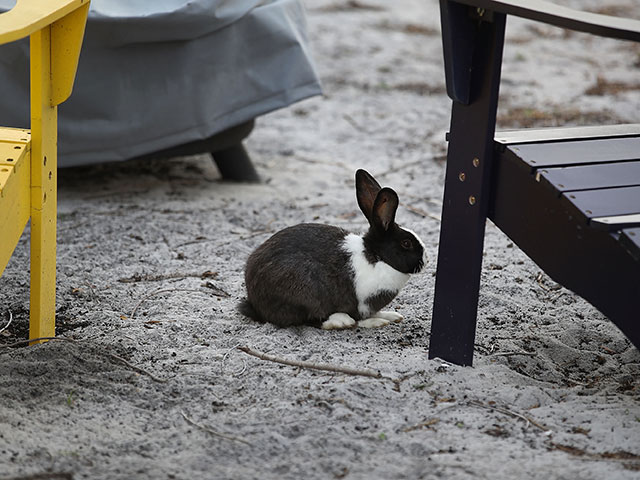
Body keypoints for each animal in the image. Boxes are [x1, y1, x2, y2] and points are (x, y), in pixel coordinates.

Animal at [238, 169, 428, 330]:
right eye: (406, 243)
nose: (426, 260)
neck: (376, 257)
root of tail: (255, 303)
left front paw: (391, 316)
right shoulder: (359, 302)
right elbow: (360, 319)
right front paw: (376, 321)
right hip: (303, 293)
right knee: (309, 320)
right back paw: (341, 321)